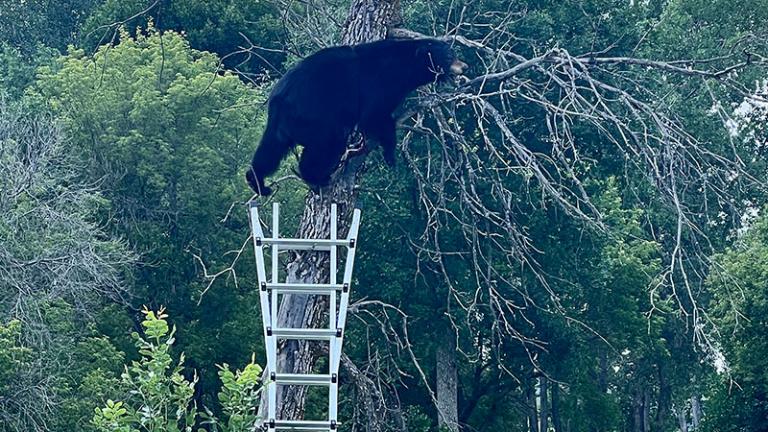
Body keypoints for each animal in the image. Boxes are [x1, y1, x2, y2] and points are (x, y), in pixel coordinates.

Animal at [245, 37, 468, 195]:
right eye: (450, 56)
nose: (464, 66)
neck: (404, 67)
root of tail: (279, 97)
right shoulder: (379, 84)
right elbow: (375, 116)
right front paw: (389, 153)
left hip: (281, 124)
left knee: (270, 151)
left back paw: (258, 181)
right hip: (315, 115)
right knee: (328, 143)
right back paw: (317, 176)